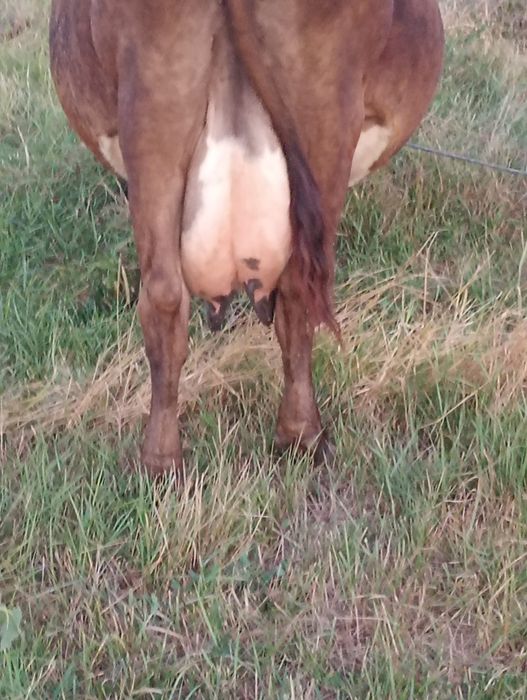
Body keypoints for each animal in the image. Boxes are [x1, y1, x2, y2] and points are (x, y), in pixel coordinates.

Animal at [49, 0, 444, 475]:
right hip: (328, 115)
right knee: (297, 294)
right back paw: (303, 436)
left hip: (153, 108)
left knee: (164, 295)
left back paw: (160, 462)